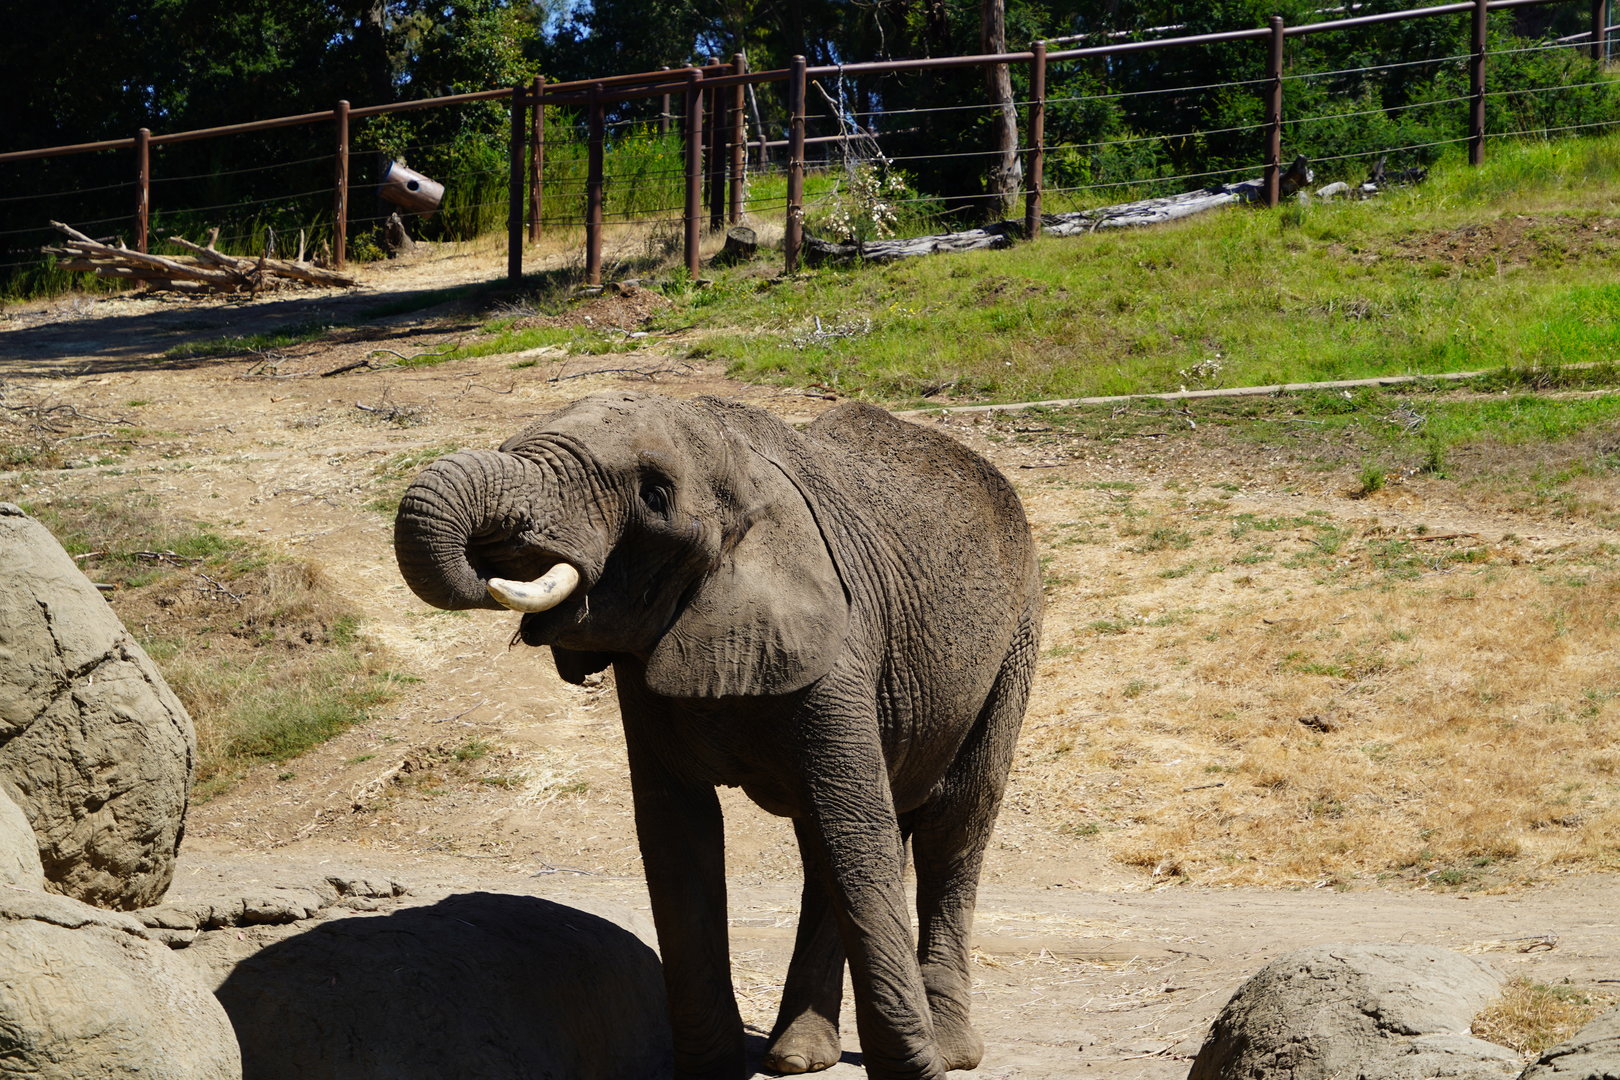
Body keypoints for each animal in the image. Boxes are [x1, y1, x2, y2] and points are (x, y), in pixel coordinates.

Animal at [393, 391, 1041, 1080]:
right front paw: (714, 1070)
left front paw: (918, 1070)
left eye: (654, 496)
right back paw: (798, 1055)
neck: (741, 468)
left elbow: (858, 833)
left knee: (952, 823)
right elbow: (678, 833)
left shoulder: (838, 642)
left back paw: (948, 1050)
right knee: (825, 840)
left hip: (1016, 638)